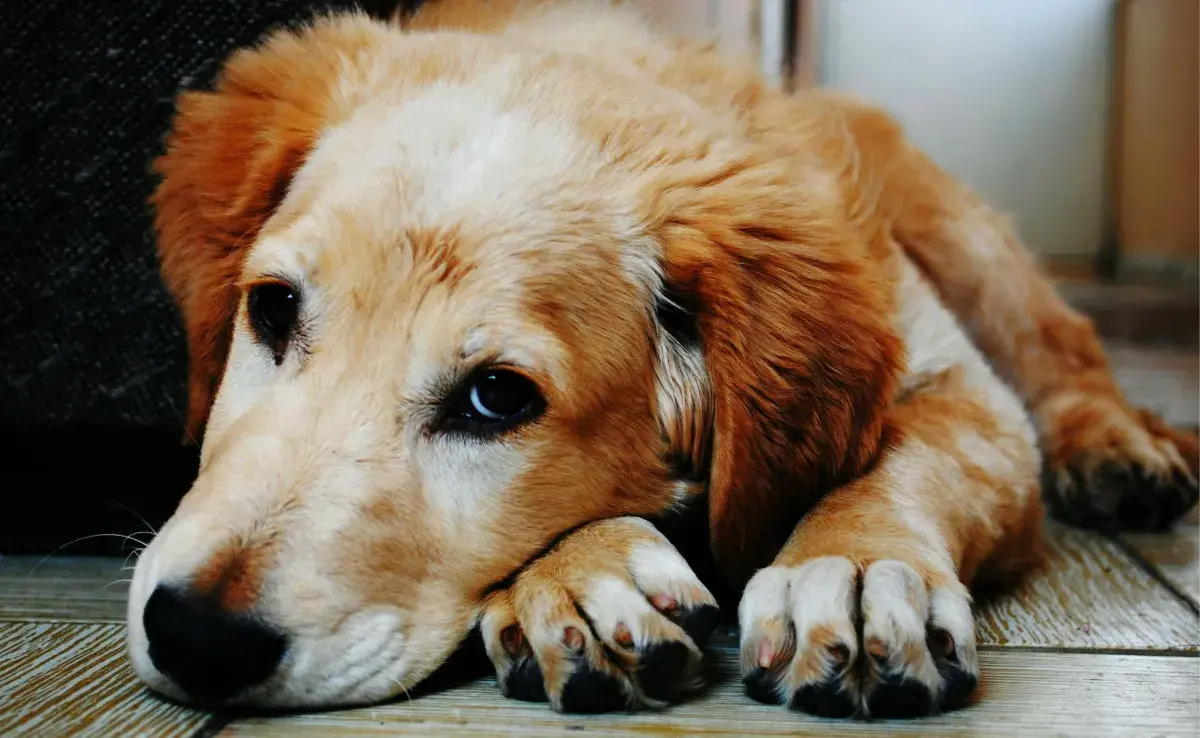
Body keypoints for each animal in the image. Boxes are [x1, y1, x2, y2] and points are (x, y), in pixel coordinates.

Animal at [124, 0, 1200, 715]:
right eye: (271, 309)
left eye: (497, 398)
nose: (194, 637)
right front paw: (583, 577)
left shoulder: (963, 389)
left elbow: (907, 457)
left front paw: (853, 564)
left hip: (963, 237)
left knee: (1067, 352)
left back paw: (1120, 450)